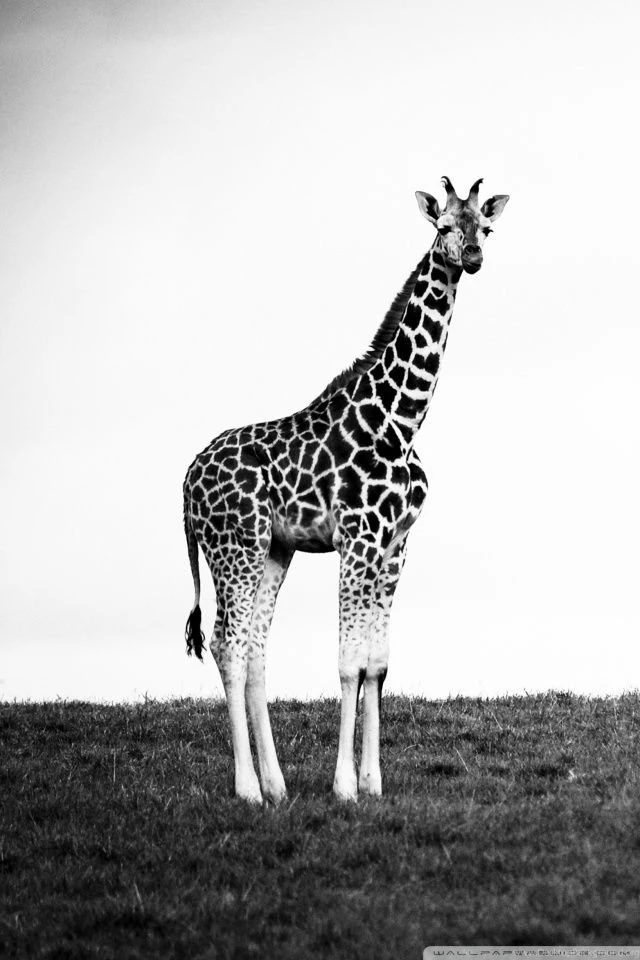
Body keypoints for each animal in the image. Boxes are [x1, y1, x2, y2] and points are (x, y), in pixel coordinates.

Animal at [182, 177, 509, 804]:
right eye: (442, 226)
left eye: (486, 226)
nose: (474, 259)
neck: (402, 419)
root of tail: (184, 485)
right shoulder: (358, 538)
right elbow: (347, 662)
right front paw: (344, 786)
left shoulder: (395, 543)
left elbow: (377, 664)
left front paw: (373, 782)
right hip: (234, 546)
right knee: (228, 645)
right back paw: (248, 789)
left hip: (272, 550)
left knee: (255, 647)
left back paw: (277, 786)